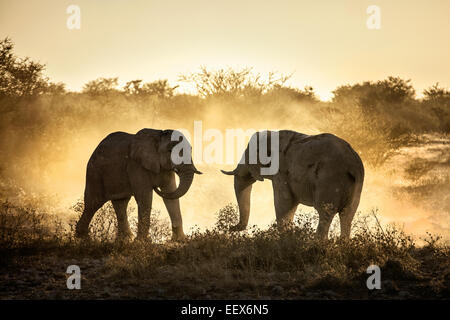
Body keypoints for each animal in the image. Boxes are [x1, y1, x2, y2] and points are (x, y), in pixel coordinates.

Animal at [222, 129, 366, 238]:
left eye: (248, 154)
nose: (230, 227)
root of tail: (352, 164)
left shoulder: (281, 171)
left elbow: (284, 202)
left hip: (329, 180)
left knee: (325, 213)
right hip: (356, 186)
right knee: (347, 215)